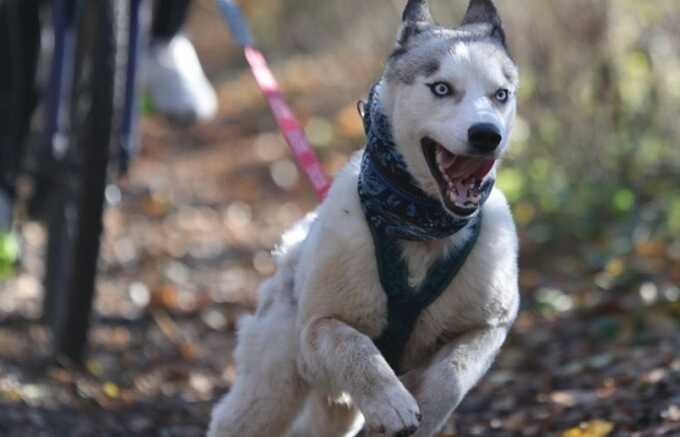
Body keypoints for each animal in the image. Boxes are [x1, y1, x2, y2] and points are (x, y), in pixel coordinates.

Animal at [210, 0, 516, 436]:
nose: (487, 135)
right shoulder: (316, 330)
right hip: (271, 386)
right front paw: (391, 403)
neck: (421, 226)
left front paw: (427, 410)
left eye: (500, 94)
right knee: (240, 414)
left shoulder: (488, 327)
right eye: (441, 88)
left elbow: (452, 375)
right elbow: (355, 347)